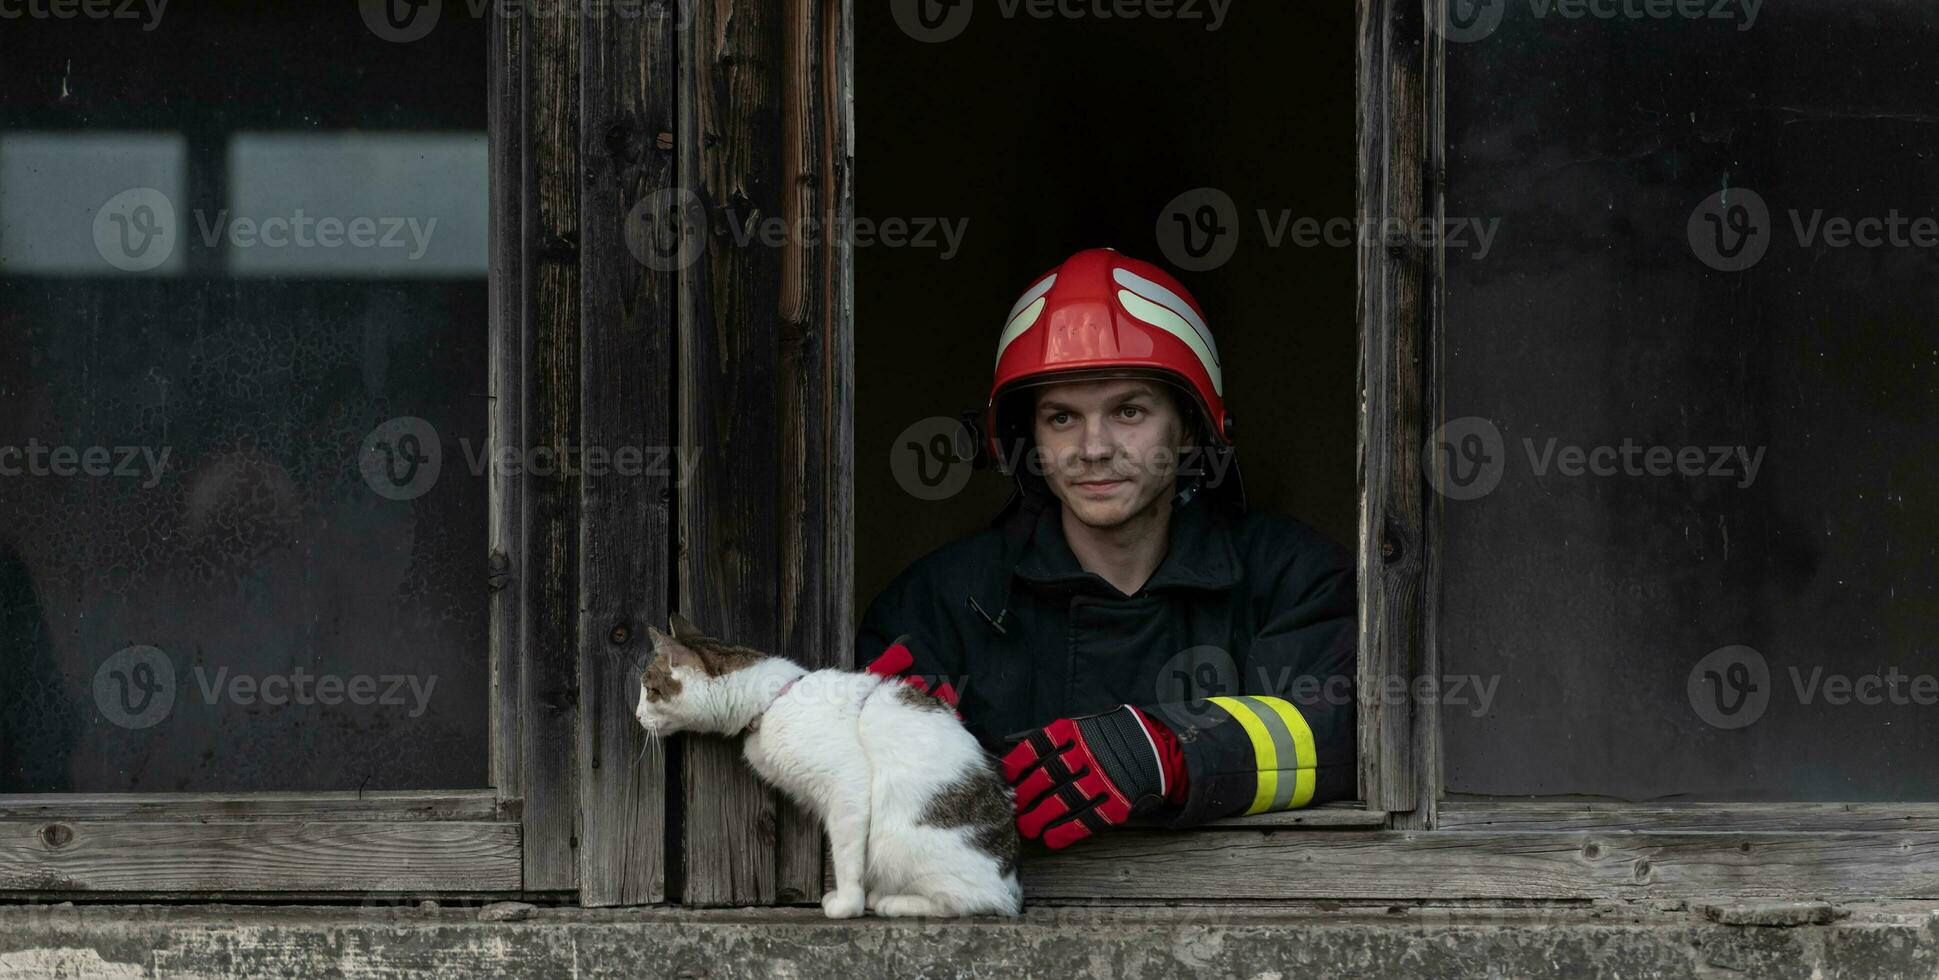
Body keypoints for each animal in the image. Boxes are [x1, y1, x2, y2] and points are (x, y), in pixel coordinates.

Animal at [639, 613, 1031, 915]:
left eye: (651, 691)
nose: (637, 715)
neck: (772, 702)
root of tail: (1011, 882)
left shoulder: (848, 786)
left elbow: (845, 856)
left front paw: (846, 904)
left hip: (900, 841)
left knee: (973, 901)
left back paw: (892, 902)